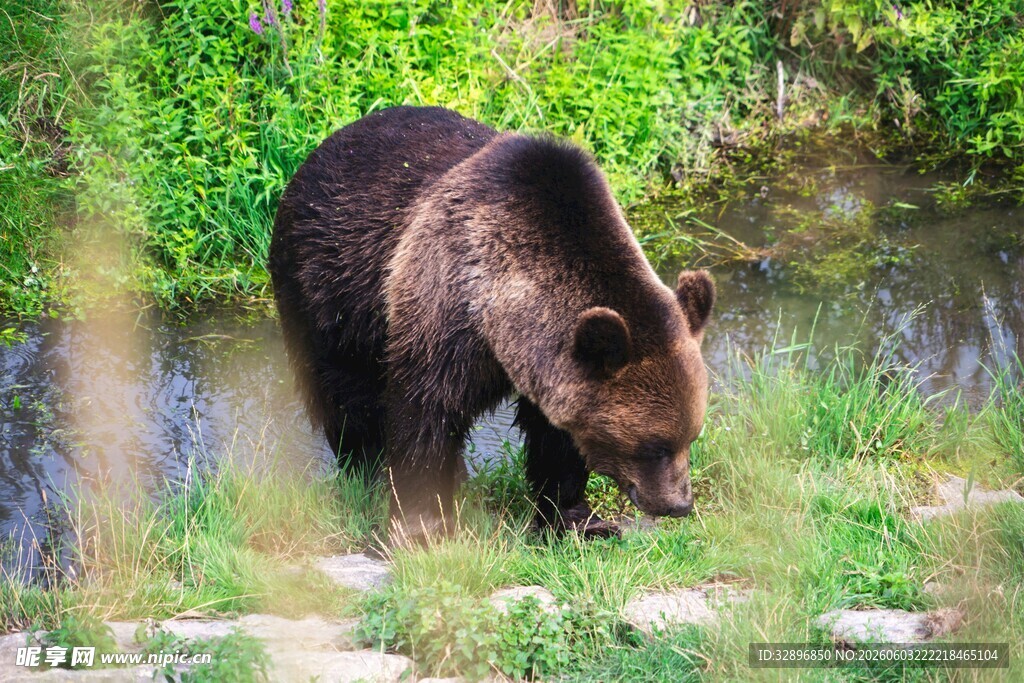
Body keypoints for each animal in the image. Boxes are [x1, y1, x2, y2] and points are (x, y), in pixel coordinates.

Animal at [269, 106, 714, 543]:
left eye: (690, 437)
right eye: (654, 446)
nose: (678, 504)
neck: (499, 315)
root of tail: (321, 150)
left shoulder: (547, 364)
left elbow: (557, 439)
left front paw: (578, 519)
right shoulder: (443, 309)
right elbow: (423, 411)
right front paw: (420, 526)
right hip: (330, 291)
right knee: (346, 396)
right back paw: (369, 472)